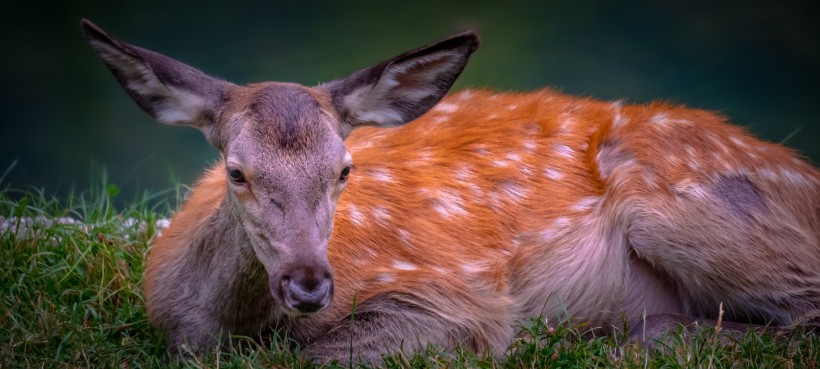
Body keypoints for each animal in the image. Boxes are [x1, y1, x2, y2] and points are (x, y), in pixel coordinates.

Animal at [78, 19, 820, 362]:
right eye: (237, 170)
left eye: (344, 169)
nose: (310, 283)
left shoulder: (454, 298)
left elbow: (322, 356)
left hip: (688, 209)